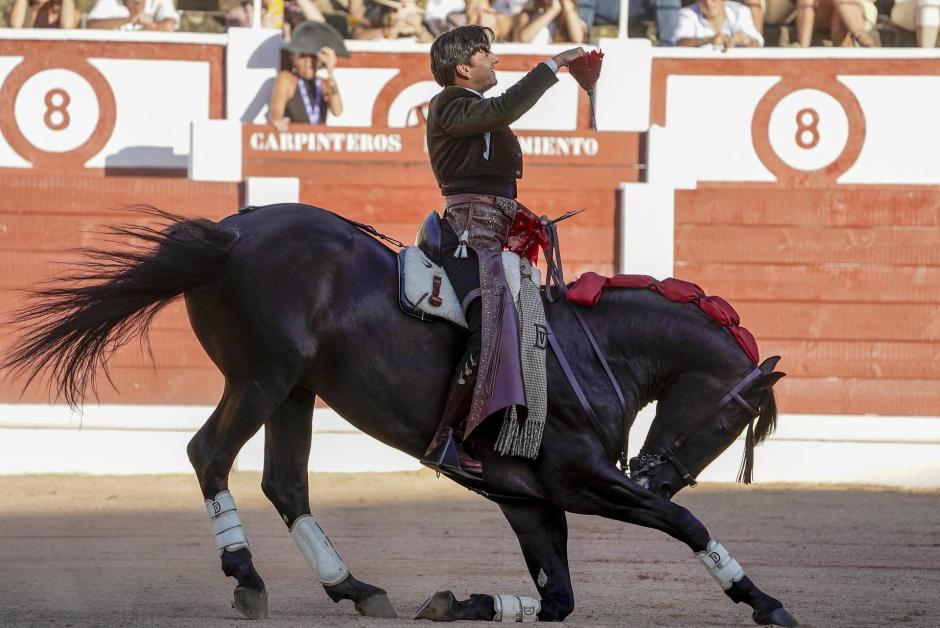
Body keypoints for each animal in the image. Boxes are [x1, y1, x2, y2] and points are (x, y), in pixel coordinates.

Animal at [3, 204, 796, 624]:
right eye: (733, 422)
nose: (655, 474)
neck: (588, 347)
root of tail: (232, 231)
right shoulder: (582, 481)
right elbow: (684, 524)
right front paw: (762, 600)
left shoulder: (530, 500)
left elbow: (559, 598)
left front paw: (455, 601)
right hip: (261, 377)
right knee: (209, 455)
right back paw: (247, 578)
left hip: (295, 390)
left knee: (285, 482)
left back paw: (353, 587)